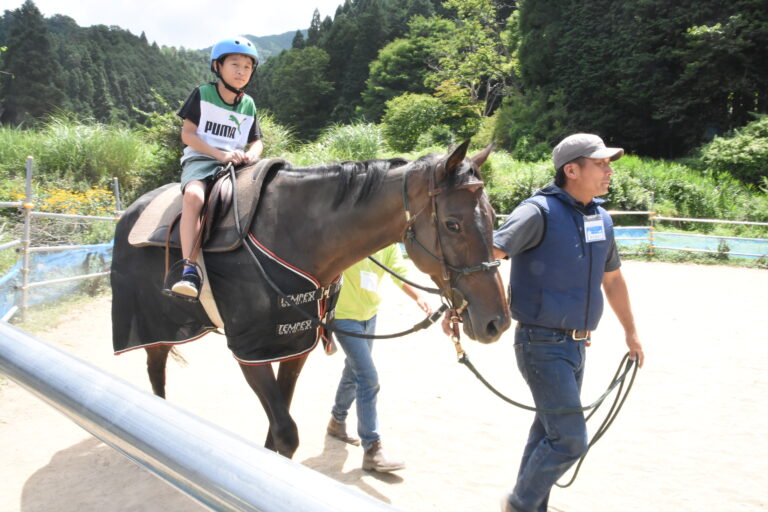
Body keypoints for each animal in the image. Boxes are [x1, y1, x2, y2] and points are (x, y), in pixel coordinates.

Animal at [111, 140, 510, 456]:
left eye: (493, 216)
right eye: (453, 224)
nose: (498, 322)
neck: (292, 233)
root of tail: (131, 210)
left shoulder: (294, 344)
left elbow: (277, 431)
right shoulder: (249, 351)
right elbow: (286, 433)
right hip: (152, 325)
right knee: (155, 370)